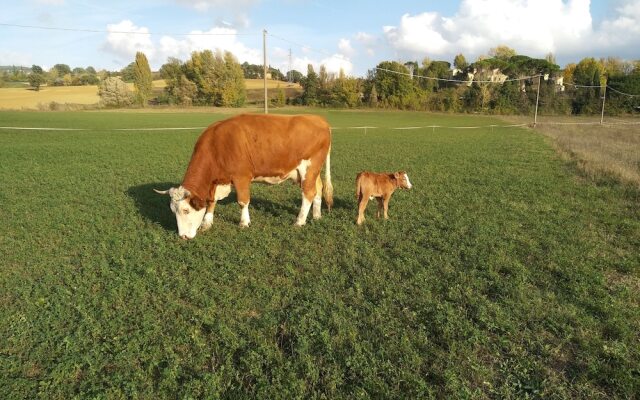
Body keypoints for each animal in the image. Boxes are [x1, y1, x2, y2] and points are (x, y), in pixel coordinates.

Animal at [156, 113, 336, 238]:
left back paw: (299, 221)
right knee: (318, 189)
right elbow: (211, 201)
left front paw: (244, 222)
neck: (217, 145)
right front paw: (207, 223)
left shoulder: (241, 177)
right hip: (313, 171)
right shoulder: (215, 181)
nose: (183, 237)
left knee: (308, 193)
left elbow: (242, 201)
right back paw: (317, 216)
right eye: (172, 210)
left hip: (309, 168)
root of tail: (318, 119)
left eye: (186, 210)